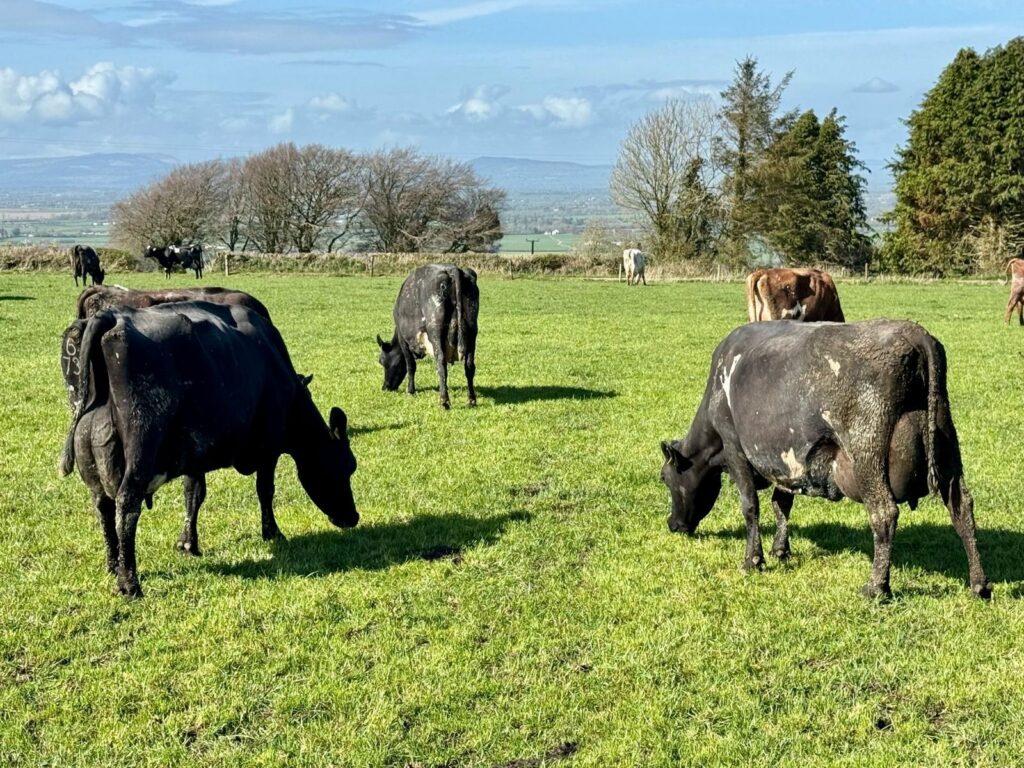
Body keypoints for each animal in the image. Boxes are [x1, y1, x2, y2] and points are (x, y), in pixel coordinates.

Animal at [59, 301, 359, 598]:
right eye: (347, 466)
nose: (353, 517)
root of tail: (111, 316)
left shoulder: (194, 454)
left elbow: (193, 495)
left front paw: (187, 544)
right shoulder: (269, 446)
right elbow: (265, 490)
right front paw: (273, 533)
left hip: (92, 456)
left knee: (103, 507)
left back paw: (113, 565)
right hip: (142, 446)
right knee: (127, 505)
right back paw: (129, 582)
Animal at [376, 264, 479, 409]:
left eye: (382, 361)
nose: (385, 387)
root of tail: (452, 269)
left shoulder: (404, 340)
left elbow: (410, 366)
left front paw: (410, 391)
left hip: (435, 331)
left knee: (441, 364)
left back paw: (444, 401)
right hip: (472, 332)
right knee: (469, 366)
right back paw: (471, 400)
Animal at [659, 319, 991, 599]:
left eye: (665, 478)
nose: (673, 524)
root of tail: (913, 332)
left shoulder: (734, 448)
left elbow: (750, 506)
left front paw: (753, 560)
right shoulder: (786, 461)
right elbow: (781, 504)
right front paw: (781, 550)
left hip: (867, 453)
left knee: (884, 513)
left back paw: (876, 587)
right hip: (947, 446)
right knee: (962, 507)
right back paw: (979, 584)